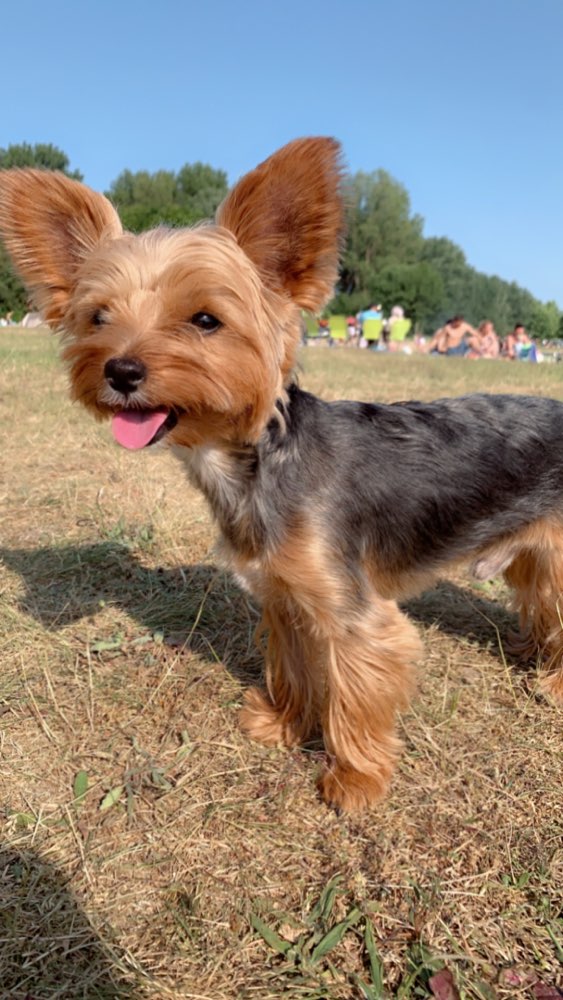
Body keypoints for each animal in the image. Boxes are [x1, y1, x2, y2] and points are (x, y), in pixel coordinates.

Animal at [1, 141, 563, 812]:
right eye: (98, 317)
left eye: (206, 320)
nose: (120, 369)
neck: (251, 463)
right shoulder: (283, 596)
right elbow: (293, 669)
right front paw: (282, 723)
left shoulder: (353, 616)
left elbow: (352, 696)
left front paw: (353, 780)